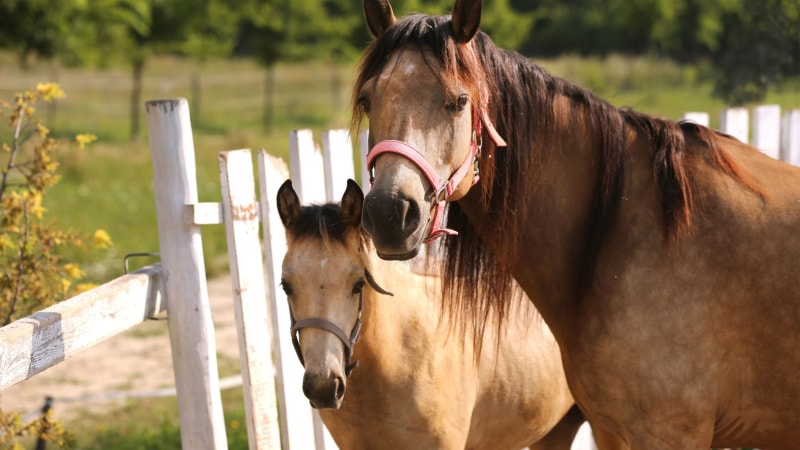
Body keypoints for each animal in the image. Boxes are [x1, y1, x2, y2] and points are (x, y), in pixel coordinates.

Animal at [356, 0, 800, 450]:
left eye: (459, 101)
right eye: (367, 100)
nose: (390, 213)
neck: (620, 228)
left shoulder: (668, 431)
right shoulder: (611, 429)